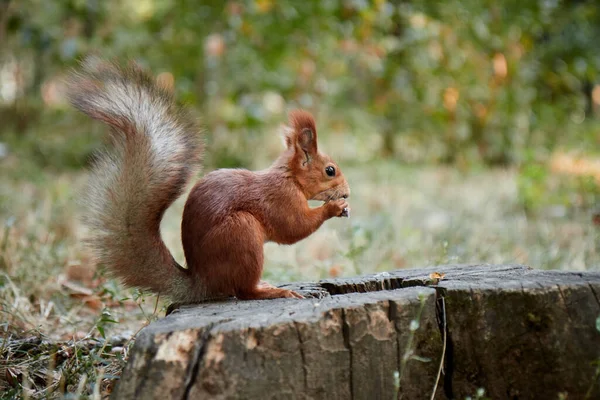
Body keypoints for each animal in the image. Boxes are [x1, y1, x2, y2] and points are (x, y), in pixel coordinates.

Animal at [65, 57, 350, 304]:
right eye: (330, 170)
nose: (347, 193)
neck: (290, 178)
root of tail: (202, 282)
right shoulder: (280, 199)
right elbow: (294, 227)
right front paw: (334, 208)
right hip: (241, 232)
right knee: (244, 291)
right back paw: (272, 291)